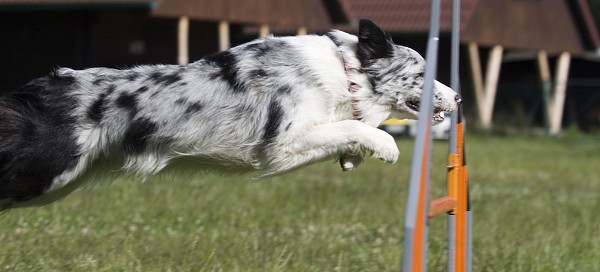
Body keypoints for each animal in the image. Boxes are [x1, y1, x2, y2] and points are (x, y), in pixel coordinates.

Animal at [0, 19, 462, 210]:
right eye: (423, 74)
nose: (458, 98)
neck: (347, 73)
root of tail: (36, 89)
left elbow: (345, 128)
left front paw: (352, 156)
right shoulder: (281, 146)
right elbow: (354, 125)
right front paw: (384, 146)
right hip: (47, 172)